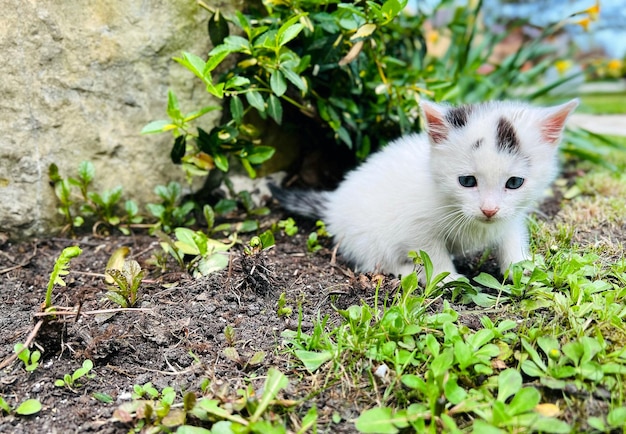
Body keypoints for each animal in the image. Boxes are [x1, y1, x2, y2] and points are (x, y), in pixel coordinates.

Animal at [270, 100, 576, 280]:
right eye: (467, 181)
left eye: (514, 183)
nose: (489, 210)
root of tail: (334, 202)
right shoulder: (415, 226)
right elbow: (431, 252)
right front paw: (446, 278)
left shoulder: (511, 214)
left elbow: (511, 235)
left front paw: (522, 267)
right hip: (365, 235)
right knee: (374, 260)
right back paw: (406, 270)